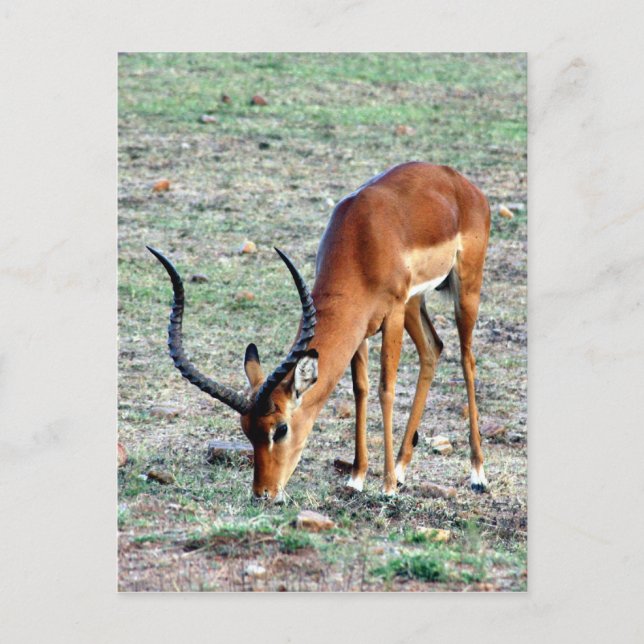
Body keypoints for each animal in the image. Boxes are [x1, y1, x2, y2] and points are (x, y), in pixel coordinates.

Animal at [148, 161, 491, 502]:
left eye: (281, 428)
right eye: (245, 428)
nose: (263, 493)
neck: (363, 238)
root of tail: (459, 181)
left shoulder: (391, 314)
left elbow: (386, 390)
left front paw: (387, 487)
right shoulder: (360, 328)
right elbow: (360, 390)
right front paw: (356, 478)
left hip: (464, 288)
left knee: (467, 360)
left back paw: (477, 475)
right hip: (415, 302)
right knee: (433, 349)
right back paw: (403, 468)